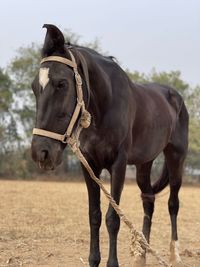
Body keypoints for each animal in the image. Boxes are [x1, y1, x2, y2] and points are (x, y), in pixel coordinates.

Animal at [31, 24, 189, 267]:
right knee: (148, 200)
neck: (105, 105)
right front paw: (93, 260)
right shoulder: (89, 166)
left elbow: (113, 218)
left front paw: (112, 263)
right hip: (145, 163)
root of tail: (175, 97)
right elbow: (94, 216)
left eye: (61, 84)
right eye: (33, 87)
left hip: (175, 157)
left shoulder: (119, 164)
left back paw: (174, 254)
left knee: (173, 202)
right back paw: (142, 254)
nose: (41, 152)